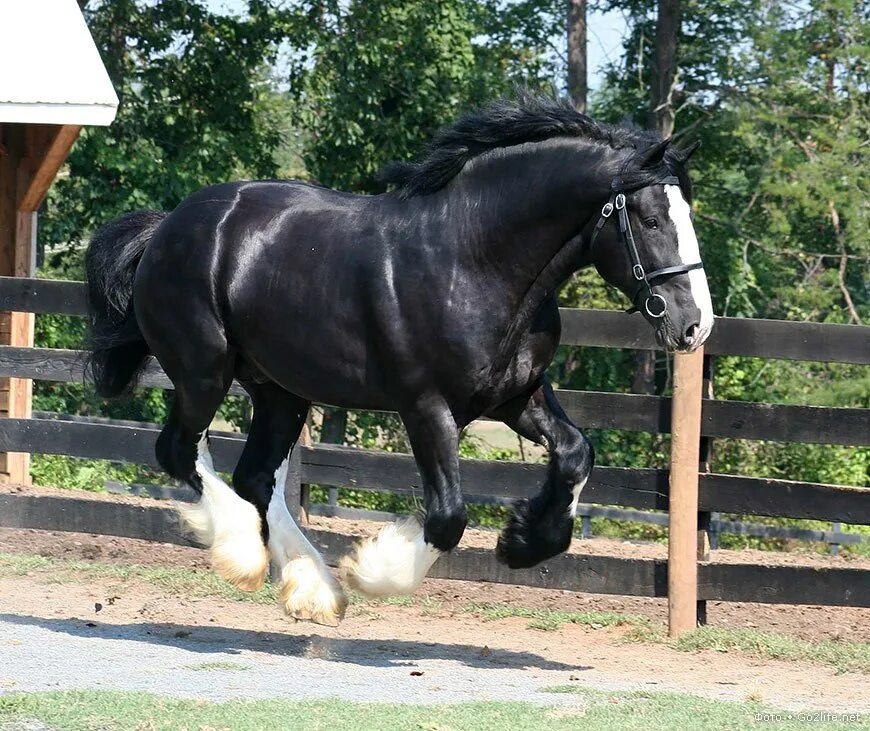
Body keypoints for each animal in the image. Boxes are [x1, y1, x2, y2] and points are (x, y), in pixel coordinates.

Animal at [85, 94, 716, 628]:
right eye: (651, 219)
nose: (695, 324)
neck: (472, 260)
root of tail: (166, 227)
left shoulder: (516, 396)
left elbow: (576, 453)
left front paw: (522, 540)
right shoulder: (426, 407)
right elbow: (447, 516)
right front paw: (376, 569)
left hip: (279, 390)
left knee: (255, 477)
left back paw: (314, 589)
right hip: (204, 370)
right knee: (180, 452)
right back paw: (246, 553)